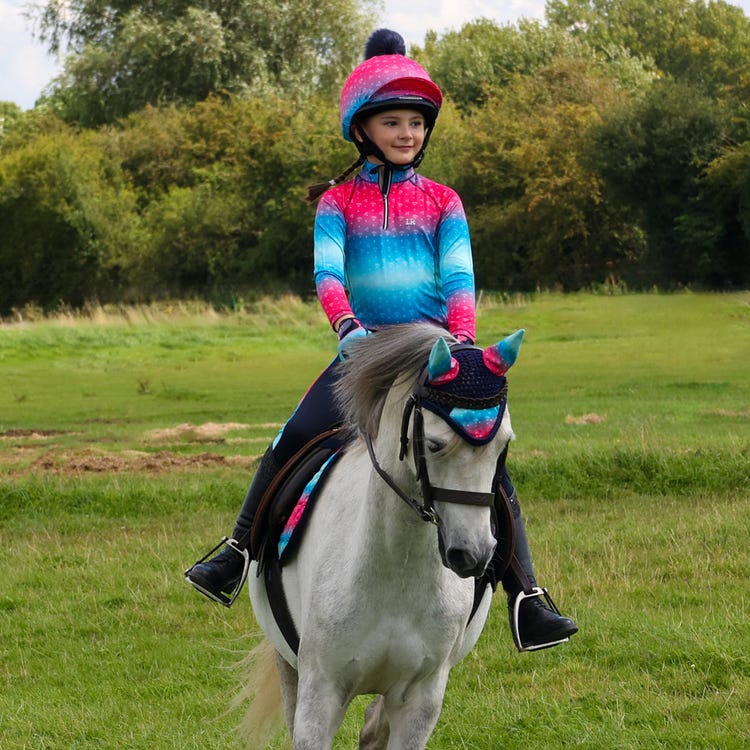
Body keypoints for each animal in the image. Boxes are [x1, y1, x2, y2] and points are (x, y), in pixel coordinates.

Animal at [247, 324, 524, 750]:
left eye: (504, 444)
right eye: (433, 445)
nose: (474, 553)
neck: (396, 571)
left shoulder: (421, 699)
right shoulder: (320, 692)